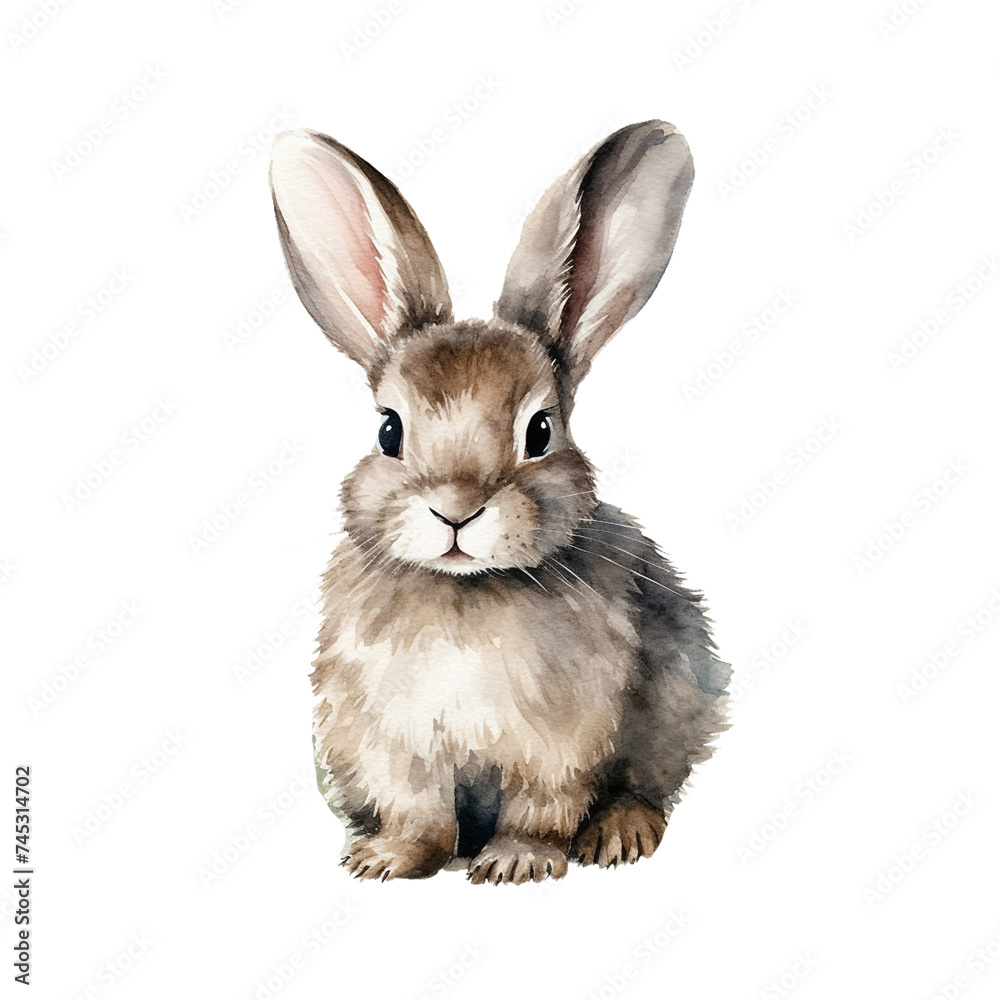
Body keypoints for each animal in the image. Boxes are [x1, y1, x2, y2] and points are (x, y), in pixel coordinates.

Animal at [268, 120, 730, 884]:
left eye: (540, 431)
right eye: (388, 430)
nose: (456, 510)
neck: (466, 589)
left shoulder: (559, 742)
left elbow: (543, 807)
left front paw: (516, 864)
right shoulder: (396, 744)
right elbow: (420, 813)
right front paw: (386, 861)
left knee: (647, 784)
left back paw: (619, 834)